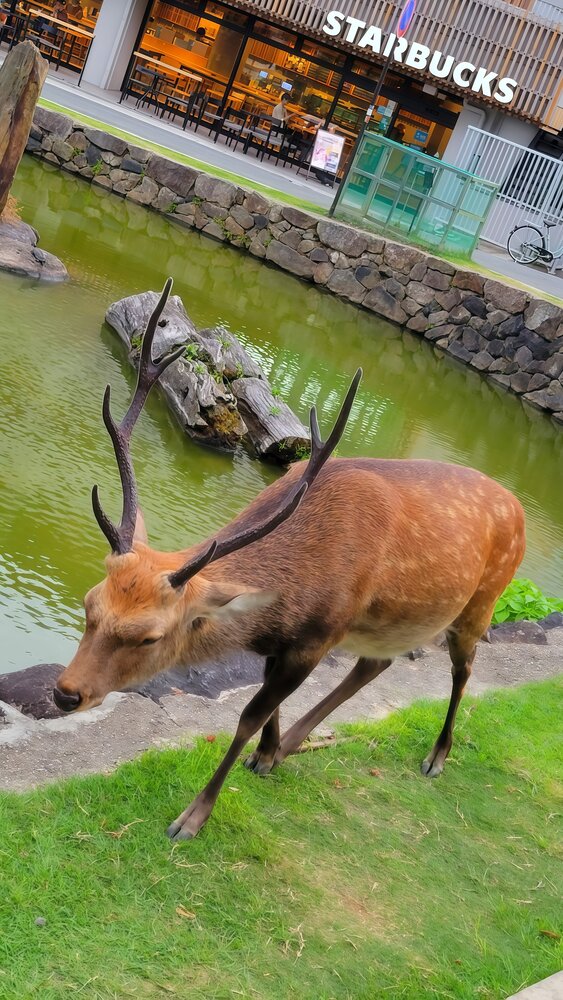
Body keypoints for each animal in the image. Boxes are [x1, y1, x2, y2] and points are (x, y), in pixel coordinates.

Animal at [54, 279, 526, 841]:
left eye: (150, 637)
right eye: (89, 605)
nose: (66, 694)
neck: (290, 596)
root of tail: (520, 508)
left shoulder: (319, 635)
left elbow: (248, 716)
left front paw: (192, 817)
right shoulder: (284, 640)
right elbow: (269, 703)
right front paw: (267, 753)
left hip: (482, 600)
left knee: (463, 668)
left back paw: (437, 756)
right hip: (385, 620)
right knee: (377, 660)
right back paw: (293, 745)